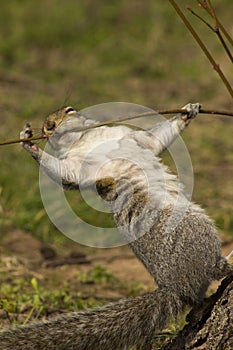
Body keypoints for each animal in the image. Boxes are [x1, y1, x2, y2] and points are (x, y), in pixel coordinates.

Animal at [0, 102, 232, 348]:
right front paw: (29, 144)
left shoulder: (130, 136)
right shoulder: (77, 170)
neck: (85, 140)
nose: (49, 126)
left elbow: (156, 138)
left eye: (69, 110)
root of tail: (174, 287)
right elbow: (61, 172)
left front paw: (188, 112)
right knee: (216, 269)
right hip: (195, 228)